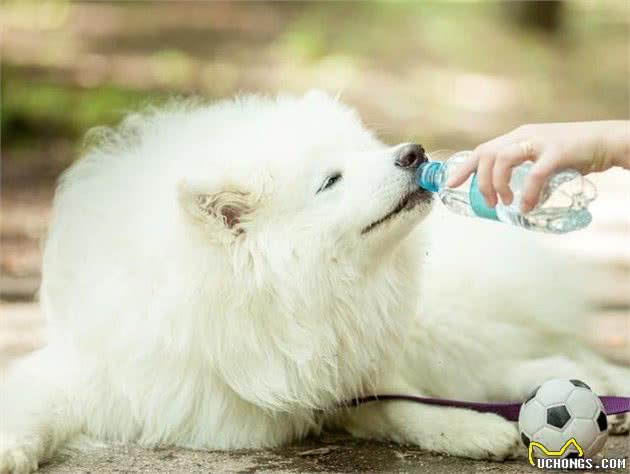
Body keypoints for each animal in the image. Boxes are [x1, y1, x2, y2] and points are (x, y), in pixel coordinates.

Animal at [2, 90, 628, 472]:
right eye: (331, 181)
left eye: (362, 152)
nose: (414, 152)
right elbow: (30, 404)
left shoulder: (350, 362)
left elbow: (405, 402)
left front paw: (465, 429)